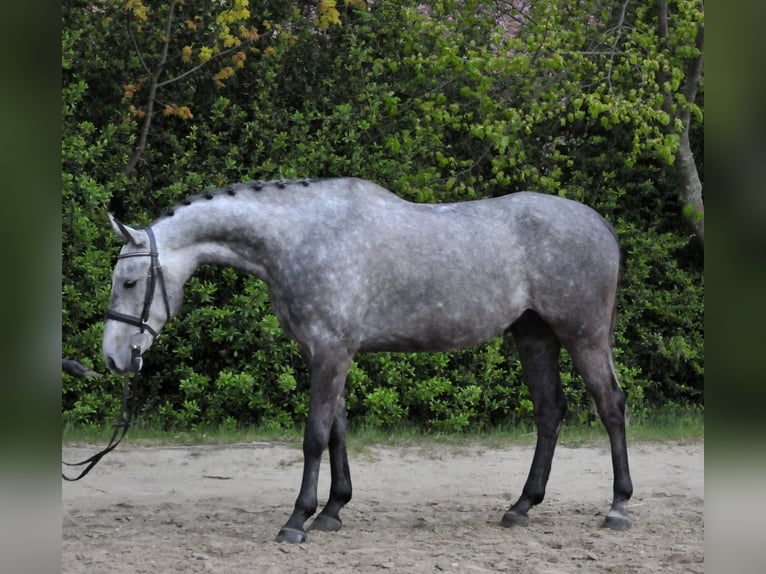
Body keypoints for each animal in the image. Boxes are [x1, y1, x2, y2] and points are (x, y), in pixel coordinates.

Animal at [102, 177, 633, 543]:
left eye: (129, 281)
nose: (113, 357)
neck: (303, 238)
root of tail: (600, 223)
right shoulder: (327, 353)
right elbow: (337, 430)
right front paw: (333, 511)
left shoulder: (330, 352)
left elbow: (314, 436)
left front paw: (297, 519)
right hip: (534, 338)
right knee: (550, 411)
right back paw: (521, 506)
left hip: (583, 336)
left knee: (610, 406)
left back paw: (618, 508)